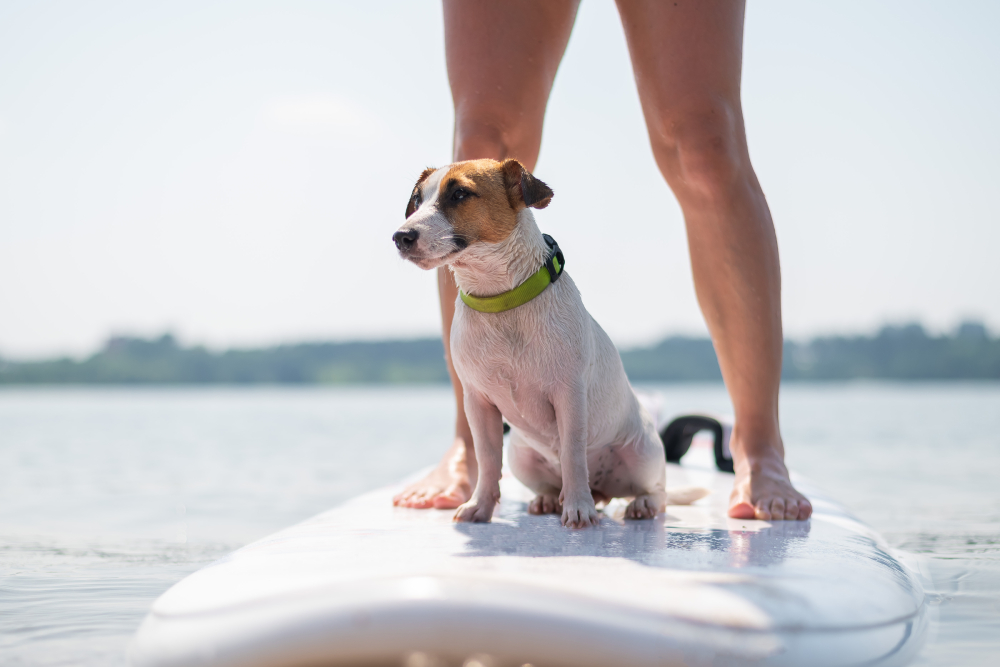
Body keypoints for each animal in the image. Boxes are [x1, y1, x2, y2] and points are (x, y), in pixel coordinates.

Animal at [390, 159, 680, 528]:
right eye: (416, 200)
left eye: (460, 194)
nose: (400, 237)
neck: (502, 301)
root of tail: (602, 490)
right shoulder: (478, 403)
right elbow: (487, 460)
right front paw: (480, 506)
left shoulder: (569, 397)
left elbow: (573, 455)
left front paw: (579, 508)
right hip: (522, 457)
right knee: (549, 483)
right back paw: (548, 499)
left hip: (643, 455)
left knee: (657, 491)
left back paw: (636, 504)